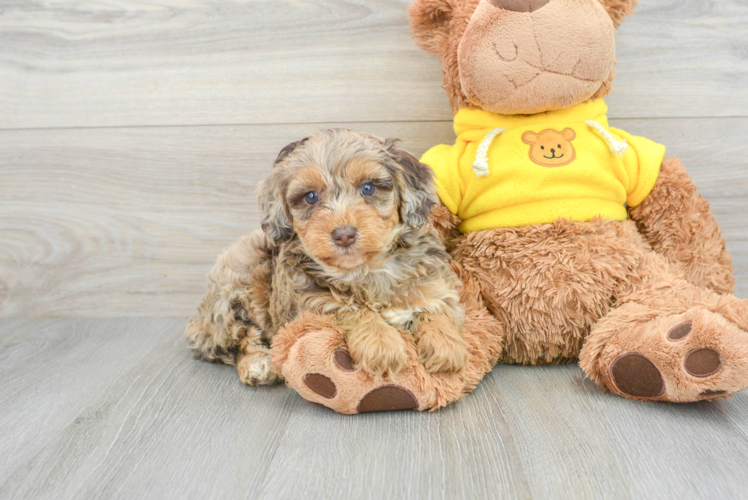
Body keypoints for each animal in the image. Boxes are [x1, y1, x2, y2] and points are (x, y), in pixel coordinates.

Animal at [186, 130, 468, 386]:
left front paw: (446, 347)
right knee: (236, 340)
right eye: (311, 196)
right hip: (237, 284)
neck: (367, 269)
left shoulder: (435, 280)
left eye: (368, 188)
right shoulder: (310, 303)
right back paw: (258, 364)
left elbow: (438, 305)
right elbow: (349, 309)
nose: (343, 234)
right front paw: (381, 345)